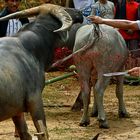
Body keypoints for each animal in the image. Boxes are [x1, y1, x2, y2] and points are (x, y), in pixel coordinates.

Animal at [0, 3, 83, 139]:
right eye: (64, 8)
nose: (79, 12)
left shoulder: (17, 110)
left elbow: (24, 133)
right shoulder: (35, 100)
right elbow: (43, 132)